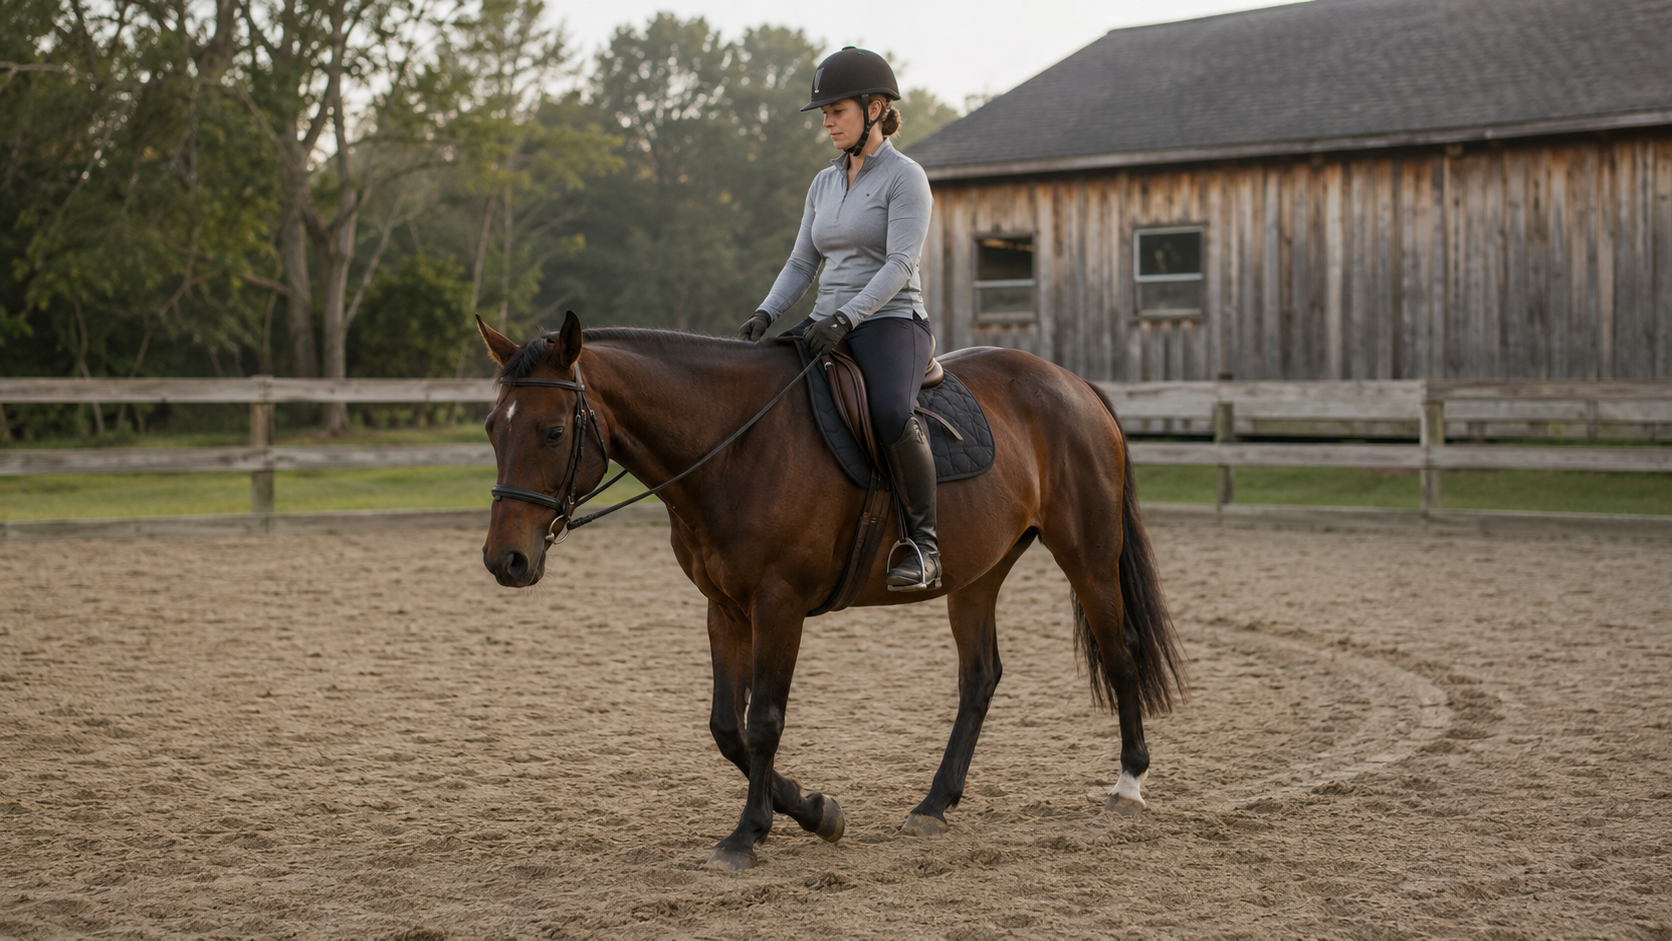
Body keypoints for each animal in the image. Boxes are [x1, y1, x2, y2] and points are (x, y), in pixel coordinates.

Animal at [476, 311, 1188, 870]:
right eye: (491, 429)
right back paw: (934, 805)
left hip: (1087, 556)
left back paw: (1127, 785)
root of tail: (1072, 384)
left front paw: (749, 835)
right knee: (980, 677)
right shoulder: (724, 608)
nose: (505, 560)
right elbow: (725, 727)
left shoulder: (778, 604)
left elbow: (763, 720)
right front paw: (817, 812)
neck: (734, 444)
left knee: (1120, 651)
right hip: (977, 575)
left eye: (553, 431)